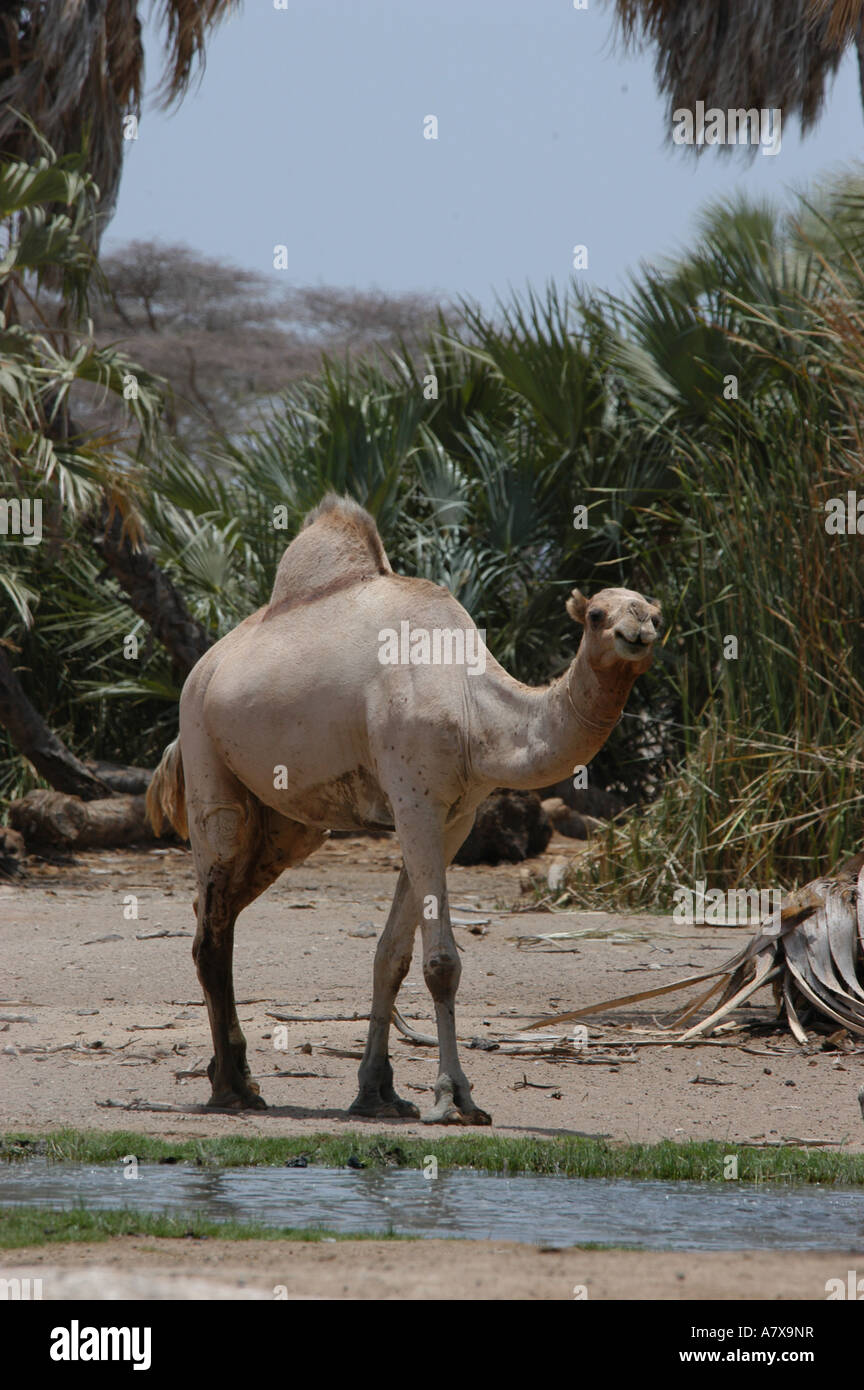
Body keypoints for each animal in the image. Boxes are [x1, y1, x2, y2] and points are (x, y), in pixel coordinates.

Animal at [148, 494, 663, 1123]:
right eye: (595, 614)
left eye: (654, 612)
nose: (636, 632)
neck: (473, 709)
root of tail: (203, 669)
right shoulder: (413, 796)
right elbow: (440, 963)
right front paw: (454, 1097)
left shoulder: (456, 815)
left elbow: (390, 956)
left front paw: (378, 1093)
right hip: (206, 757)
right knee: (213, 926)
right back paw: (232, 1089)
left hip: (288, 826)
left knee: (213, 910)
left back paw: (235, 1075)